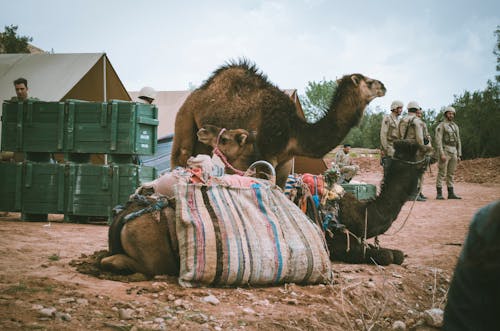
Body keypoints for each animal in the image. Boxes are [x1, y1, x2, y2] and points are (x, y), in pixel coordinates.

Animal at [100, 140, 430, 278]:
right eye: (415, 148)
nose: (429, 151)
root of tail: (125, 213)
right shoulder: (335, 241)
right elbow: (387, 255)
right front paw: (389, 255)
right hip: (153, 253)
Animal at [170, 60, 384, 188]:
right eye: (369, 82)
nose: (383, 86)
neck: (294, 131)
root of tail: (195, 95)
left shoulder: (285, 162)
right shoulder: (266, 157)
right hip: (184, 119)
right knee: (179, 157)